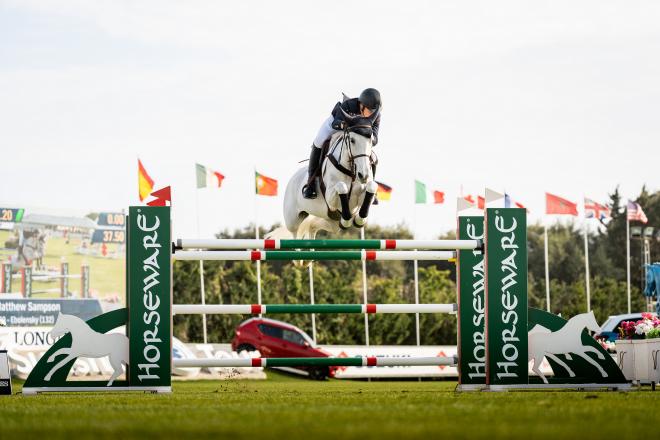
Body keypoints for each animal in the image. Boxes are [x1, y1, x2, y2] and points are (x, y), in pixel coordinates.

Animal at [270, 110, 378, 242]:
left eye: (371, 140)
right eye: (352, 140)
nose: (363, 175)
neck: (352, 171)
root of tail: (292, 179)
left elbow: (371, 187)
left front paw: (358, 220)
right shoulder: (330, 197)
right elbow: (342, 186)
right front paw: (347, 219)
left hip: (330, 222)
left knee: (313, 226)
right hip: (293, 220)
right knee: (296, 234)